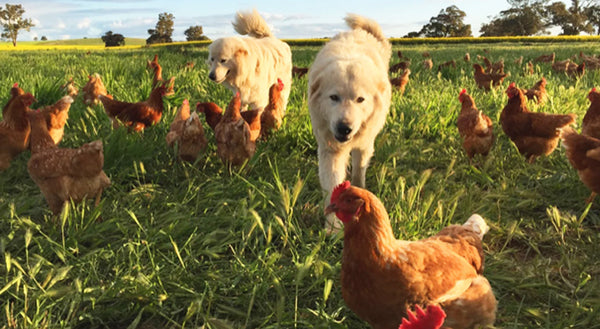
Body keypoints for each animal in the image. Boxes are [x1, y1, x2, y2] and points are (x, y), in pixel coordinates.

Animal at [310, 14, 394, 231]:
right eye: (333, 97)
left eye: (360, 99)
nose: (344, 128)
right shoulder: (330, 150)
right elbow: (332, 185)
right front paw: (333, 227)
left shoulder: (364, 144)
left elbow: (359, 170)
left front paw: (359, 192)